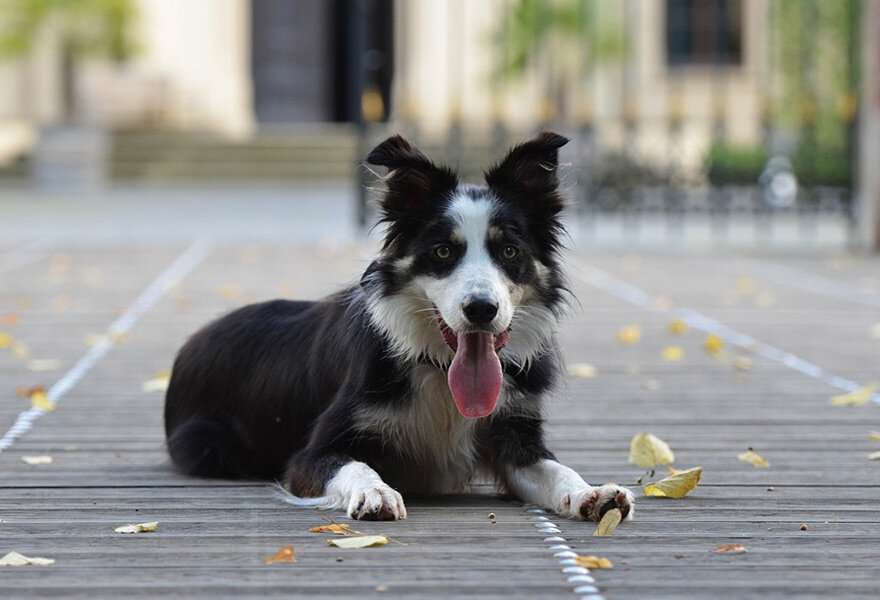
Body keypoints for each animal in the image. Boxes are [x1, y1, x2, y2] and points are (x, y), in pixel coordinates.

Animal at [163, 131, 632, 520]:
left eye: (510, 251)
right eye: (442, 252)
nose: (481, 309)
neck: (439, 372)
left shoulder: (516, 434)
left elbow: (556, 469)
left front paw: (592, 493)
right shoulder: (312, 453)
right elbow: (355, 465)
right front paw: (376, 493)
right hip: (208, 443)